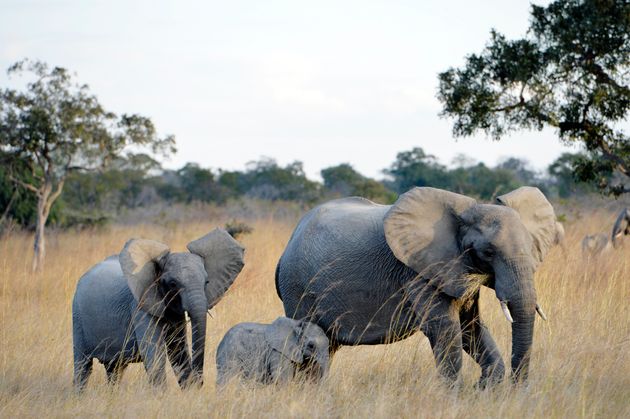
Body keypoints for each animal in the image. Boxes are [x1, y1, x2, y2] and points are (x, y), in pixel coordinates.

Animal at [71, 228, 244, 392]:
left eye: (206, 282)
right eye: (173, 284)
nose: (200, 382)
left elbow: (177, 349)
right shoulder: (140, 305)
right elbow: (154, 353)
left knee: (115, 369)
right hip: (77, 316)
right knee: (83, 367)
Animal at [276, 187, 556, 388]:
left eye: (532, 249)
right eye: (488, 252)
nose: (517, 389)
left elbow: (471, 327)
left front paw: (485, 389)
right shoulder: (418, 272)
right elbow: (445, 330)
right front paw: (455, 397)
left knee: (326, 346)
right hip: (298, 287)